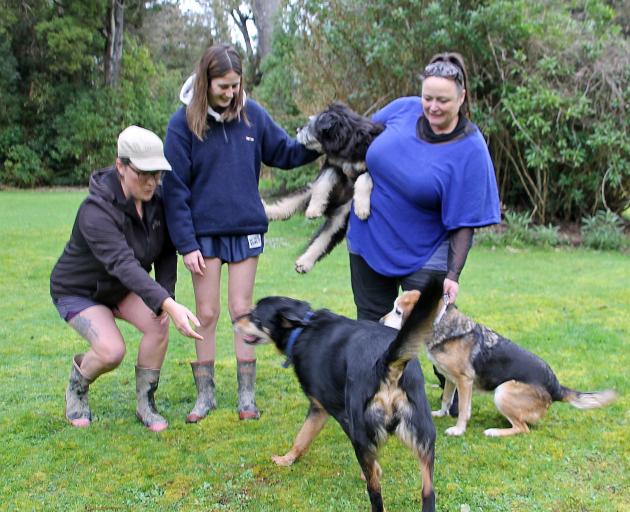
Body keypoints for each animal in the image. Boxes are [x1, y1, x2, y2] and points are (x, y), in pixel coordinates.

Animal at [233, 280, 444, 512]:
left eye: (255, 316)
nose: (234, 320)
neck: (302, 330)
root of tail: (385, 364)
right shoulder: (320, 410)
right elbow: (302, 438)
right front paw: (287, 459)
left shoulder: (333, 412)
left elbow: (305, 438)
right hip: (425, 437)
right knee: (428, 492)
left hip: (360, 432)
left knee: (375, 492)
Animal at [262, 101, 382, 274]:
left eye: (311, 124)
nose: (297, 130)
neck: (346, 145)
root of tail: (331, 208)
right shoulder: (332, 165)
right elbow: (323, 183)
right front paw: (313, 210)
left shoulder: (369, 166)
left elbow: (363, 179)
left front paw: (362, 209)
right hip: (308, 192)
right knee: (287, 205)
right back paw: (269, 211)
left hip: (340, 218)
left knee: (324, 239)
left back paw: (304, 262)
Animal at [382, 290, 620, 438]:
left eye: (398, 311)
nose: (380, 322)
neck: (441, 324)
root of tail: (556, 387)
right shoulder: (450, 378)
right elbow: (447, 399)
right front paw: (440, 414)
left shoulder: (464, 381)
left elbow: (464, 410)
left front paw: (458, 430)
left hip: (503, 391)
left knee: (523, 429)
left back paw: (494, 432)